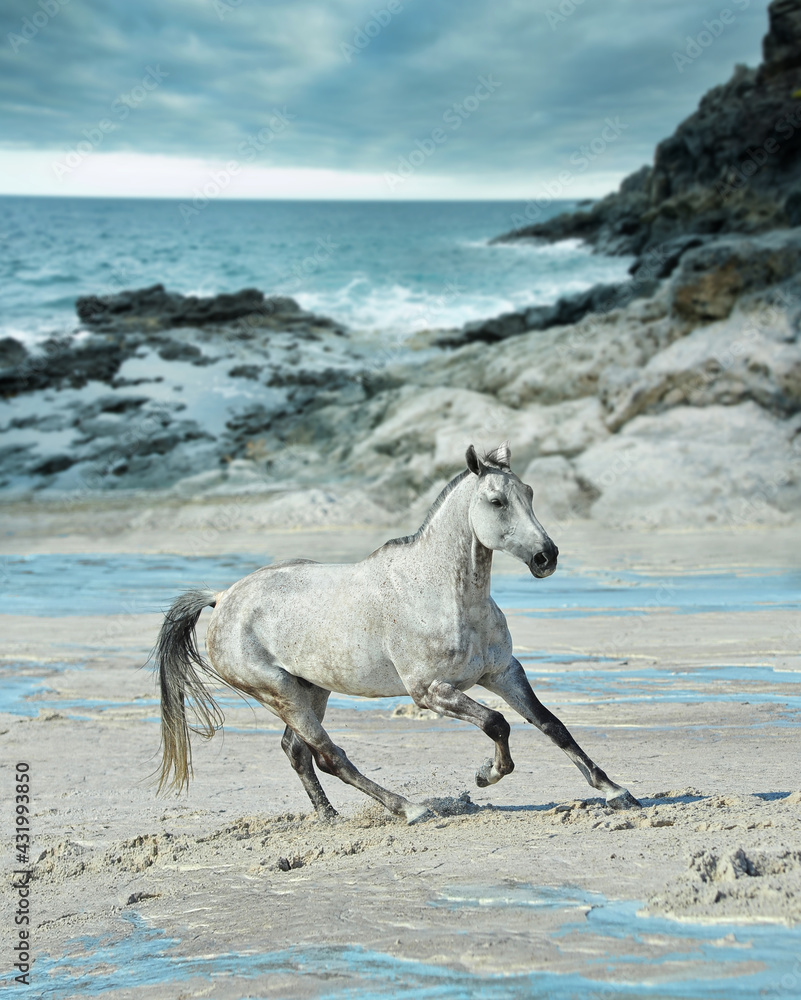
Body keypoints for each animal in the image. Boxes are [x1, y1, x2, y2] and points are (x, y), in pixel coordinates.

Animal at [156, 446, 640, 820]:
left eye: (530, 493)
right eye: (496, 501)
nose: (546, 557)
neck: (445, 595)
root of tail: (223, 598)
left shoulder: (502, 672)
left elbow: (551, 724)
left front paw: (617, 792)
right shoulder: (429, 691)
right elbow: (497, 723)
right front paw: (486, 775)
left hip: (310, 689)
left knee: (296, 750)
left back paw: (330, 817)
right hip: (279, 692)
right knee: (329, 756)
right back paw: (409, 809)